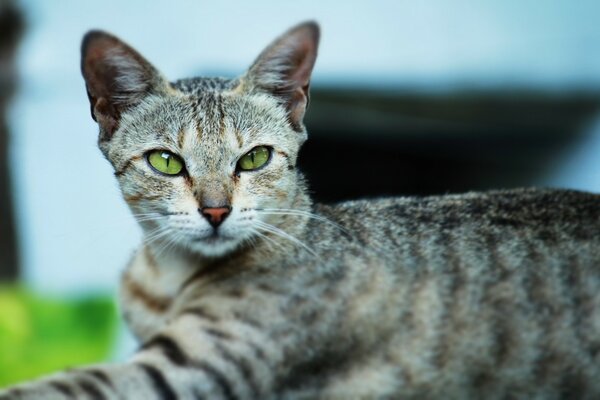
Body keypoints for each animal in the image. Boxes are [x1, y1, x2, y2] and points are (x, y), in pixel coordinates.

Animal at [1, 21, 600, 400]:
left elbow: (68, 385)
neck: (166, 277)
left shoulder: (189, 369)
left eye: (255, 157)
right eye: (167, 162)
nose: (216, 210)